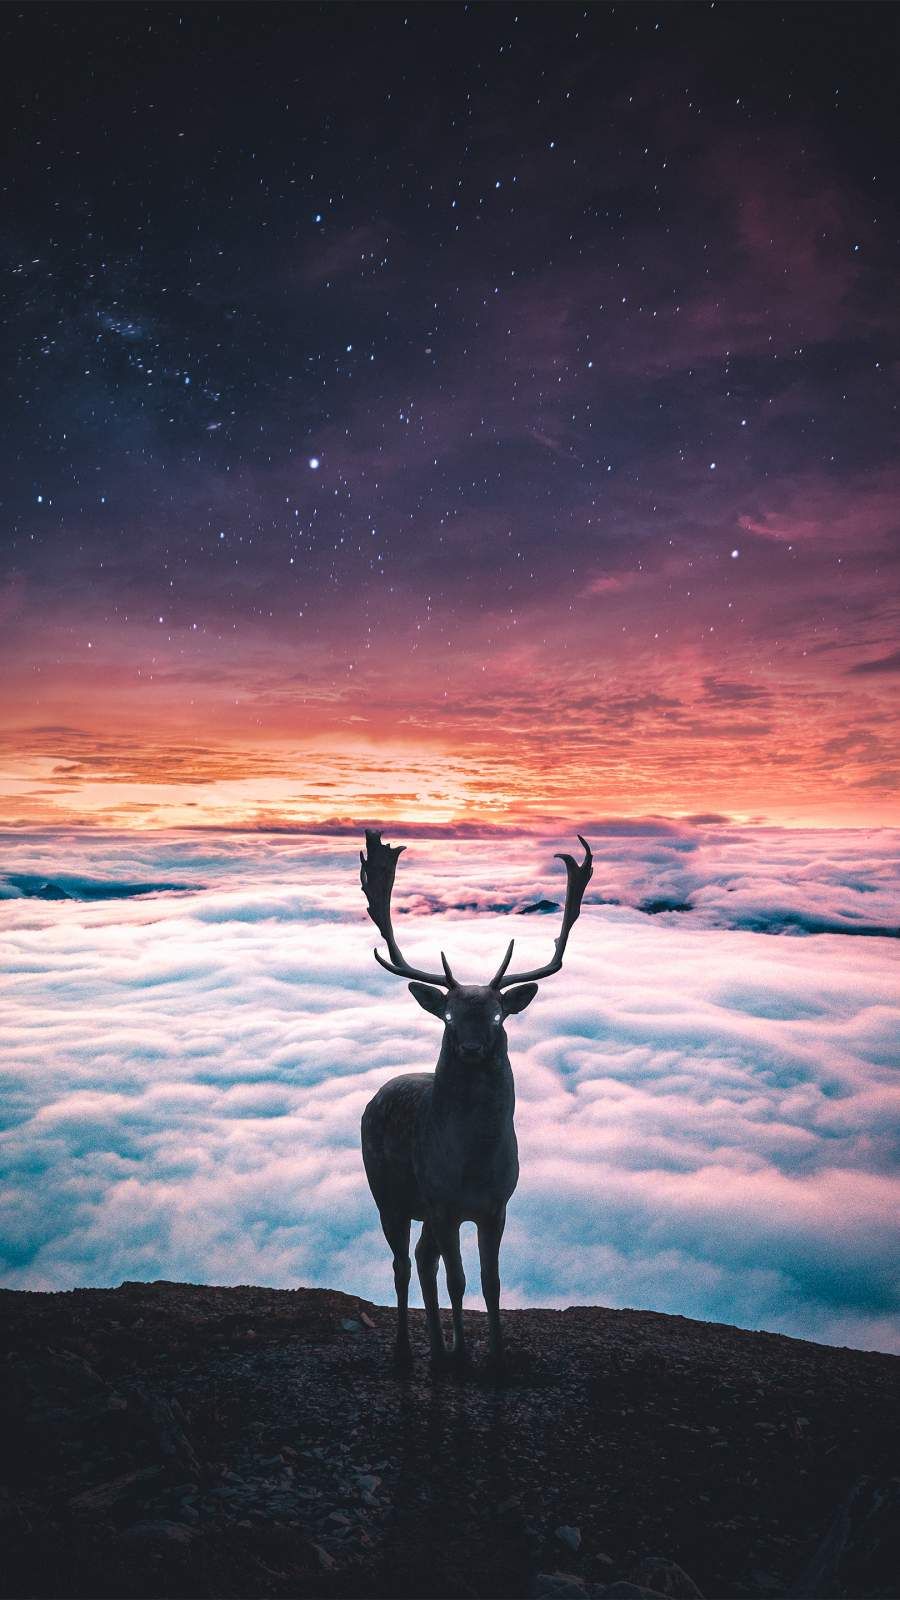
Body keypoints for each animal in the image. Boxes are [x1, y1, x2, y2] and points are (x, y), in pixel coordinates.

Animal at [359, 829, 593, 1373]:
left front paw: (496, 1359)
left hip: (423, 1208)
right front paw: (466, 1359)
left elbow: (491, 1282)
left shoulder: (496, 1205)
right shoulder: (444, 1201)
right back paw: (408, 1352)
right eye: (448, 1016)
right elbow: (458, 1279)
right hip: (388, 1194)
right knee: (402, 1264)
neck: (473, 1163)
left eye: (497, 1016)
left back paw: (438, 1350)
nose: (469, 1048)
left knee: (422, 1260)